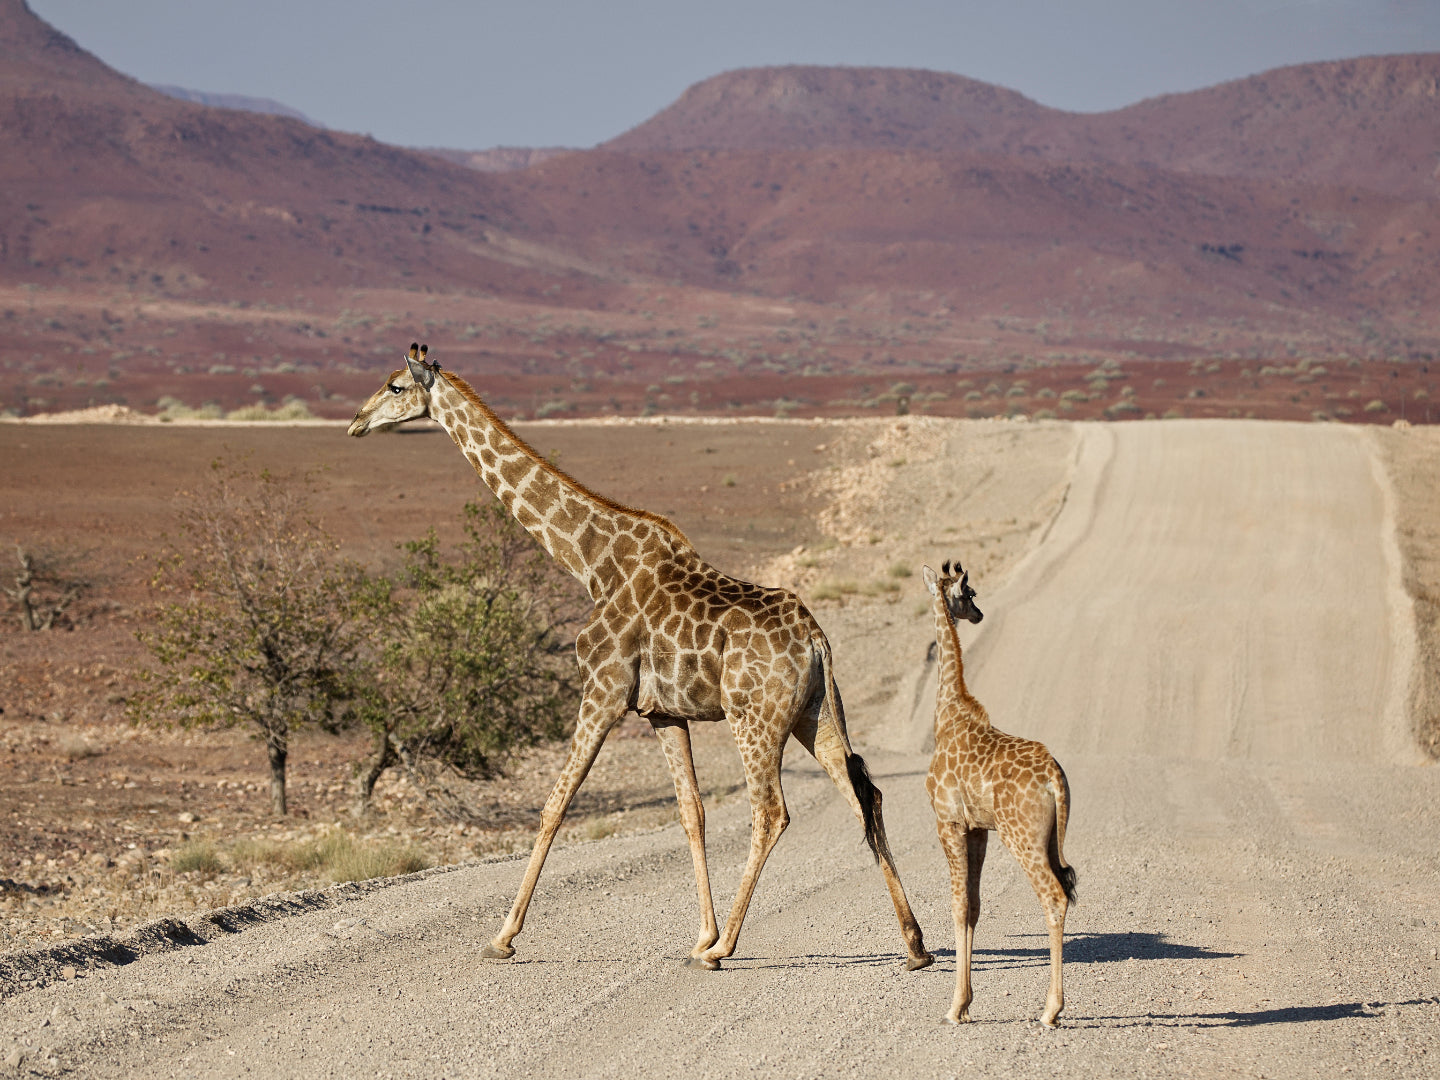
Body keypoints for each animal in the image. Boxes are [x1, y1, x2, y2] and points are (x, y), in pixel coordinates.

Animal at [347, 344, 933, 971]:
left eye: (395, 386)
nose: (356, 422)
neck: (588, 560)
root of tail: (816, 642)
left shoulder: (602, 689)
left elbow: (555, 805)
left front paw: (503, 936)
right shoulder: (663, 712)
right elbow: (691, 813)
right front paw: (699, 933)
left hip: (754, 718)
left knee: (772, 812)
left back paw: (726, 947)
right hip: (814, 713)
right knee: (864, 794)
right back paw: (914, 945)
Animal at [923, 559, 1077, 1026]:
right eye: (969, 594)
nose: (978, 614)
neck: (947, 715)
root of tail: (1055, 778)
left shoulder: (948, 821)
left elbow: (956, 906)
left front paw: (954, 1007)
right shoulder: (978, 830)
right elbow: (973, 906)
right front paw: (965, 1002)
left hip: (1022, 837)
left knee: (1054, 897)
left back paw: (1050, 1011)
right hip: (1045, 839)